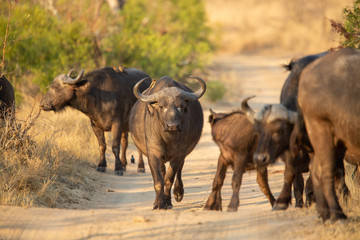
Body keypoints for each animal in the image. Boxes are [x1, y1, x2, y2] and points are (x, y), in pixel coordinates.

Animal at [130, 76, 205, 209]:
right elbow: (159, 180)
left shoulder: (179, 154)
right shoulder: (153, 153)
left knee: (179, 171)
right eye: (161, 106)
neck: (168, 137)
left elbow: (169, 178)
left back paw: (178, 193)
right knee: (163, 171)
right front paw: (158, 203)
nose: (172, 126)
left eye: (180, 105)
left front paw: (167, 201)